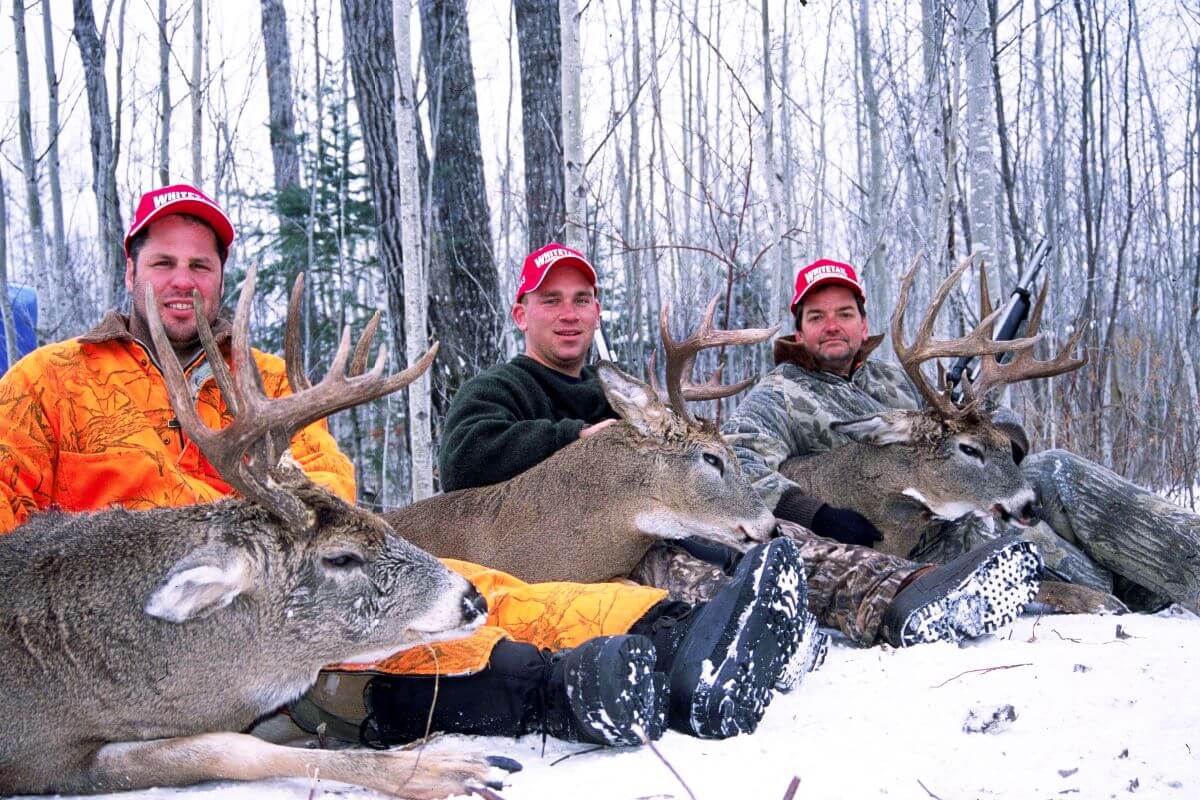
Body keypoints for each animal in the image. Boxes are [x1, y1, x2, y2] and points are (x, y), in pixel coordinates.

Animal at [0, 265, 515, 799]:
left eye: (380, 521)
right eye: (341, 557)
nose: (473, 599)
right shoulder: (45, 759)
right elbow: (228, 748)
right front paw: (446, 768)